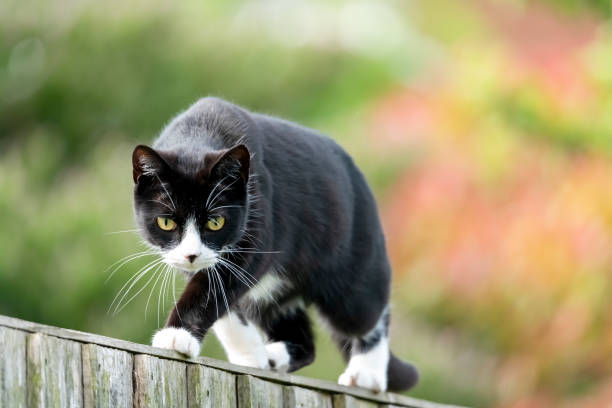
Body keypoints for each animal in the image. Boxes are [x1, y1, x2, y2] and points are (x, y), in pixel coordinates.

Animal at [131, 97, 418, 394]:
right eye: (166, 222)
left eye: (215, 222)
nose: (191, 254)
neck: (198, 135)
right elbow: (223, 305)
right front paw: (250, 356)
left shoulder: (255, 233)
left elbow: (209, 290)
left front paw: (176, 336)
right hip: (276, 288)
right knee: (300, 336)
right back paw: (273, 357)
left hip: (353, 266)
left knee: (368, 313)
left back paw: (368, 374)